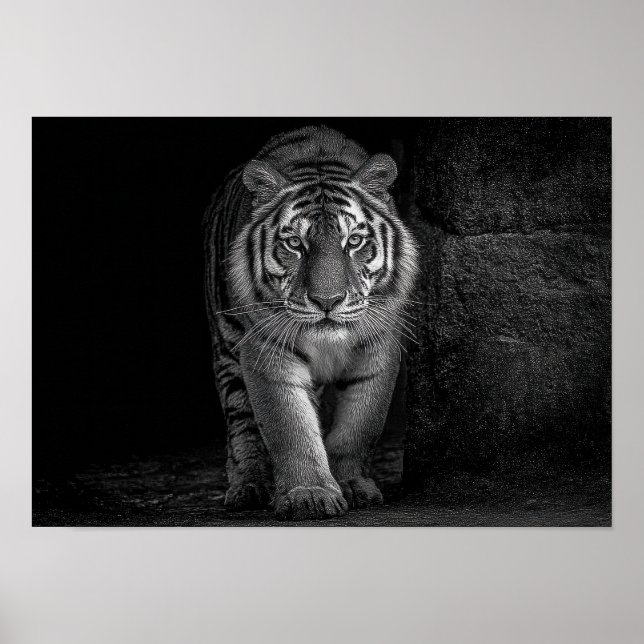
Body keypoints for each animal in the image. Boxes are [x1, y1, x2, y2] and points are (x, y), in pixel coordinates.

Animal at [204, 125, 419, 521]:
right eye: (294, 244)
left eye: (354, 241)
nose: (328, 301)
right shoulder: (266, 349)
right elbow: (289, 427)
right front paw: (310, 494)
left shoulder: (379, 345)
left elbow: (359, 424)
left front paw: (351, 483)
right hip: (227, 348)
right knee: (241, 423)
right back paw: (248, 486)